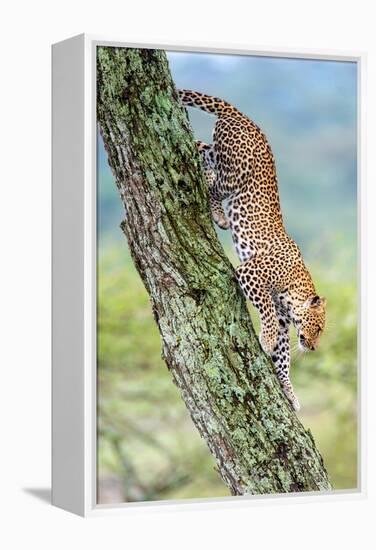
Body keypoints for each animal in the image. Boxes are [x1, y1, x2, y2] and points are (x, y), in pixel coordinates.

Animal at [178, 88, 324, 412]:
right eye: (320, 328)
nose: (312, 347)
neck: (296, 290)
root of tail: (243, 116)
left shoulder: (284, 320)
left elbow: (283, 357)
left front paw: (289, 392)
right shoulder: (251, 273)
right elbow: (266, 311)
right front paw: (266, 340)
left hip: (219, 151)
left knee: (200, 148)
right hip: (235, 172)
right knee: (213, 180)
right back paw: (218, 213)